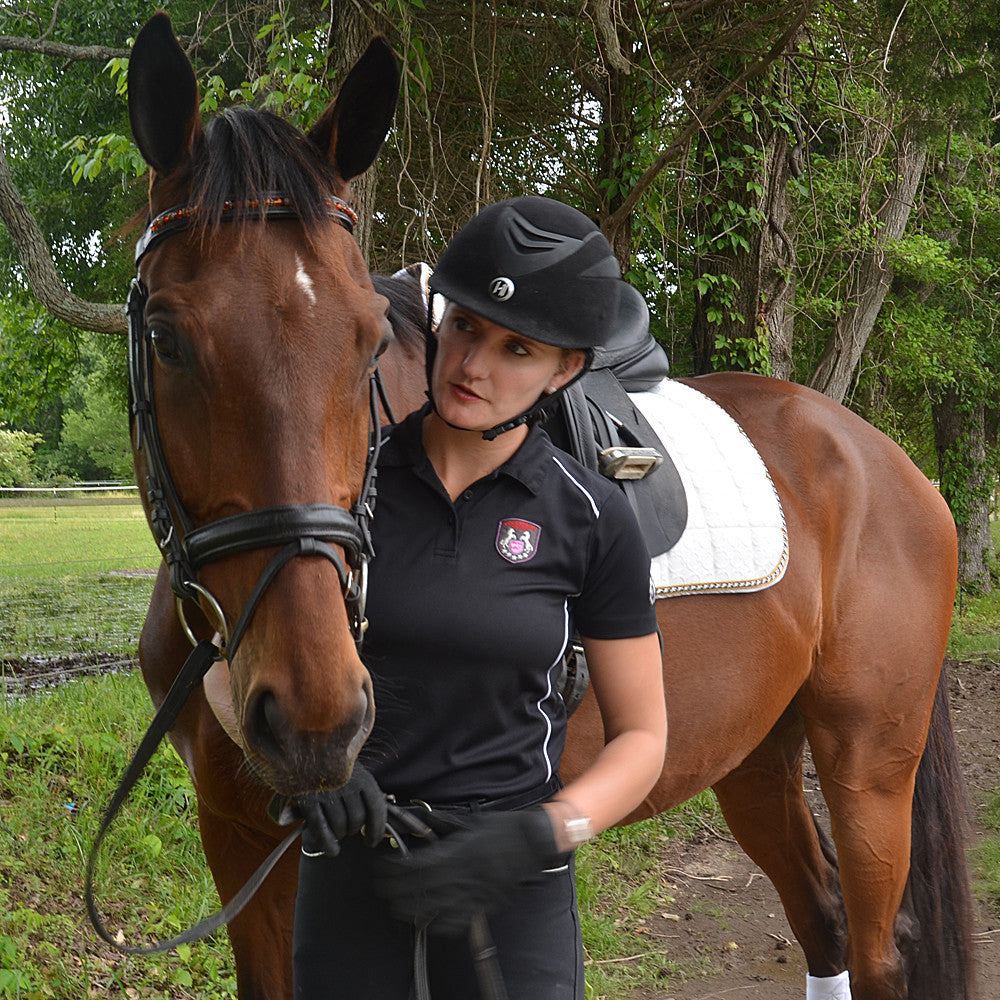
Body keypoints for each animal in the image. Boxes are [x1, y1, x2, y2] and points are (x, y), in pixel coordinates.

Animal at [121, 13, 972, 1000]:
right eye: (167, 337)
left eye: (366, 340)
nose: (315, 715)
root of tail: (886, 461)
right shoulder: (240, 836)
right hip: (756, 753)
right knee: (821, 918)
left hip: (869, 765)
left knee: (877, 949)